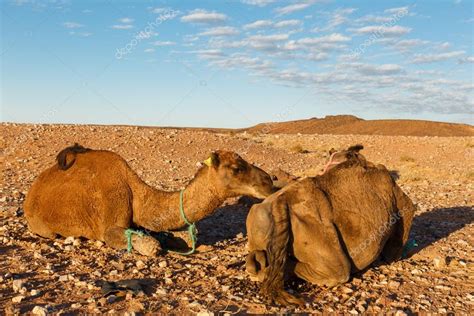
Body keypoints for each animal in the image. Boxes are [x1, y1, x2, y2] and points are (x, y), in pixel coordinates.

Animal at [24, 144, 274, 256]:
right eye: (236, 168)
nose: (268, 181)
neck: (137, 196)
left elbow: (181, 236)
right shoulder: (109, 226)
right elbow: (152, 246)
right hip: (42, 227)